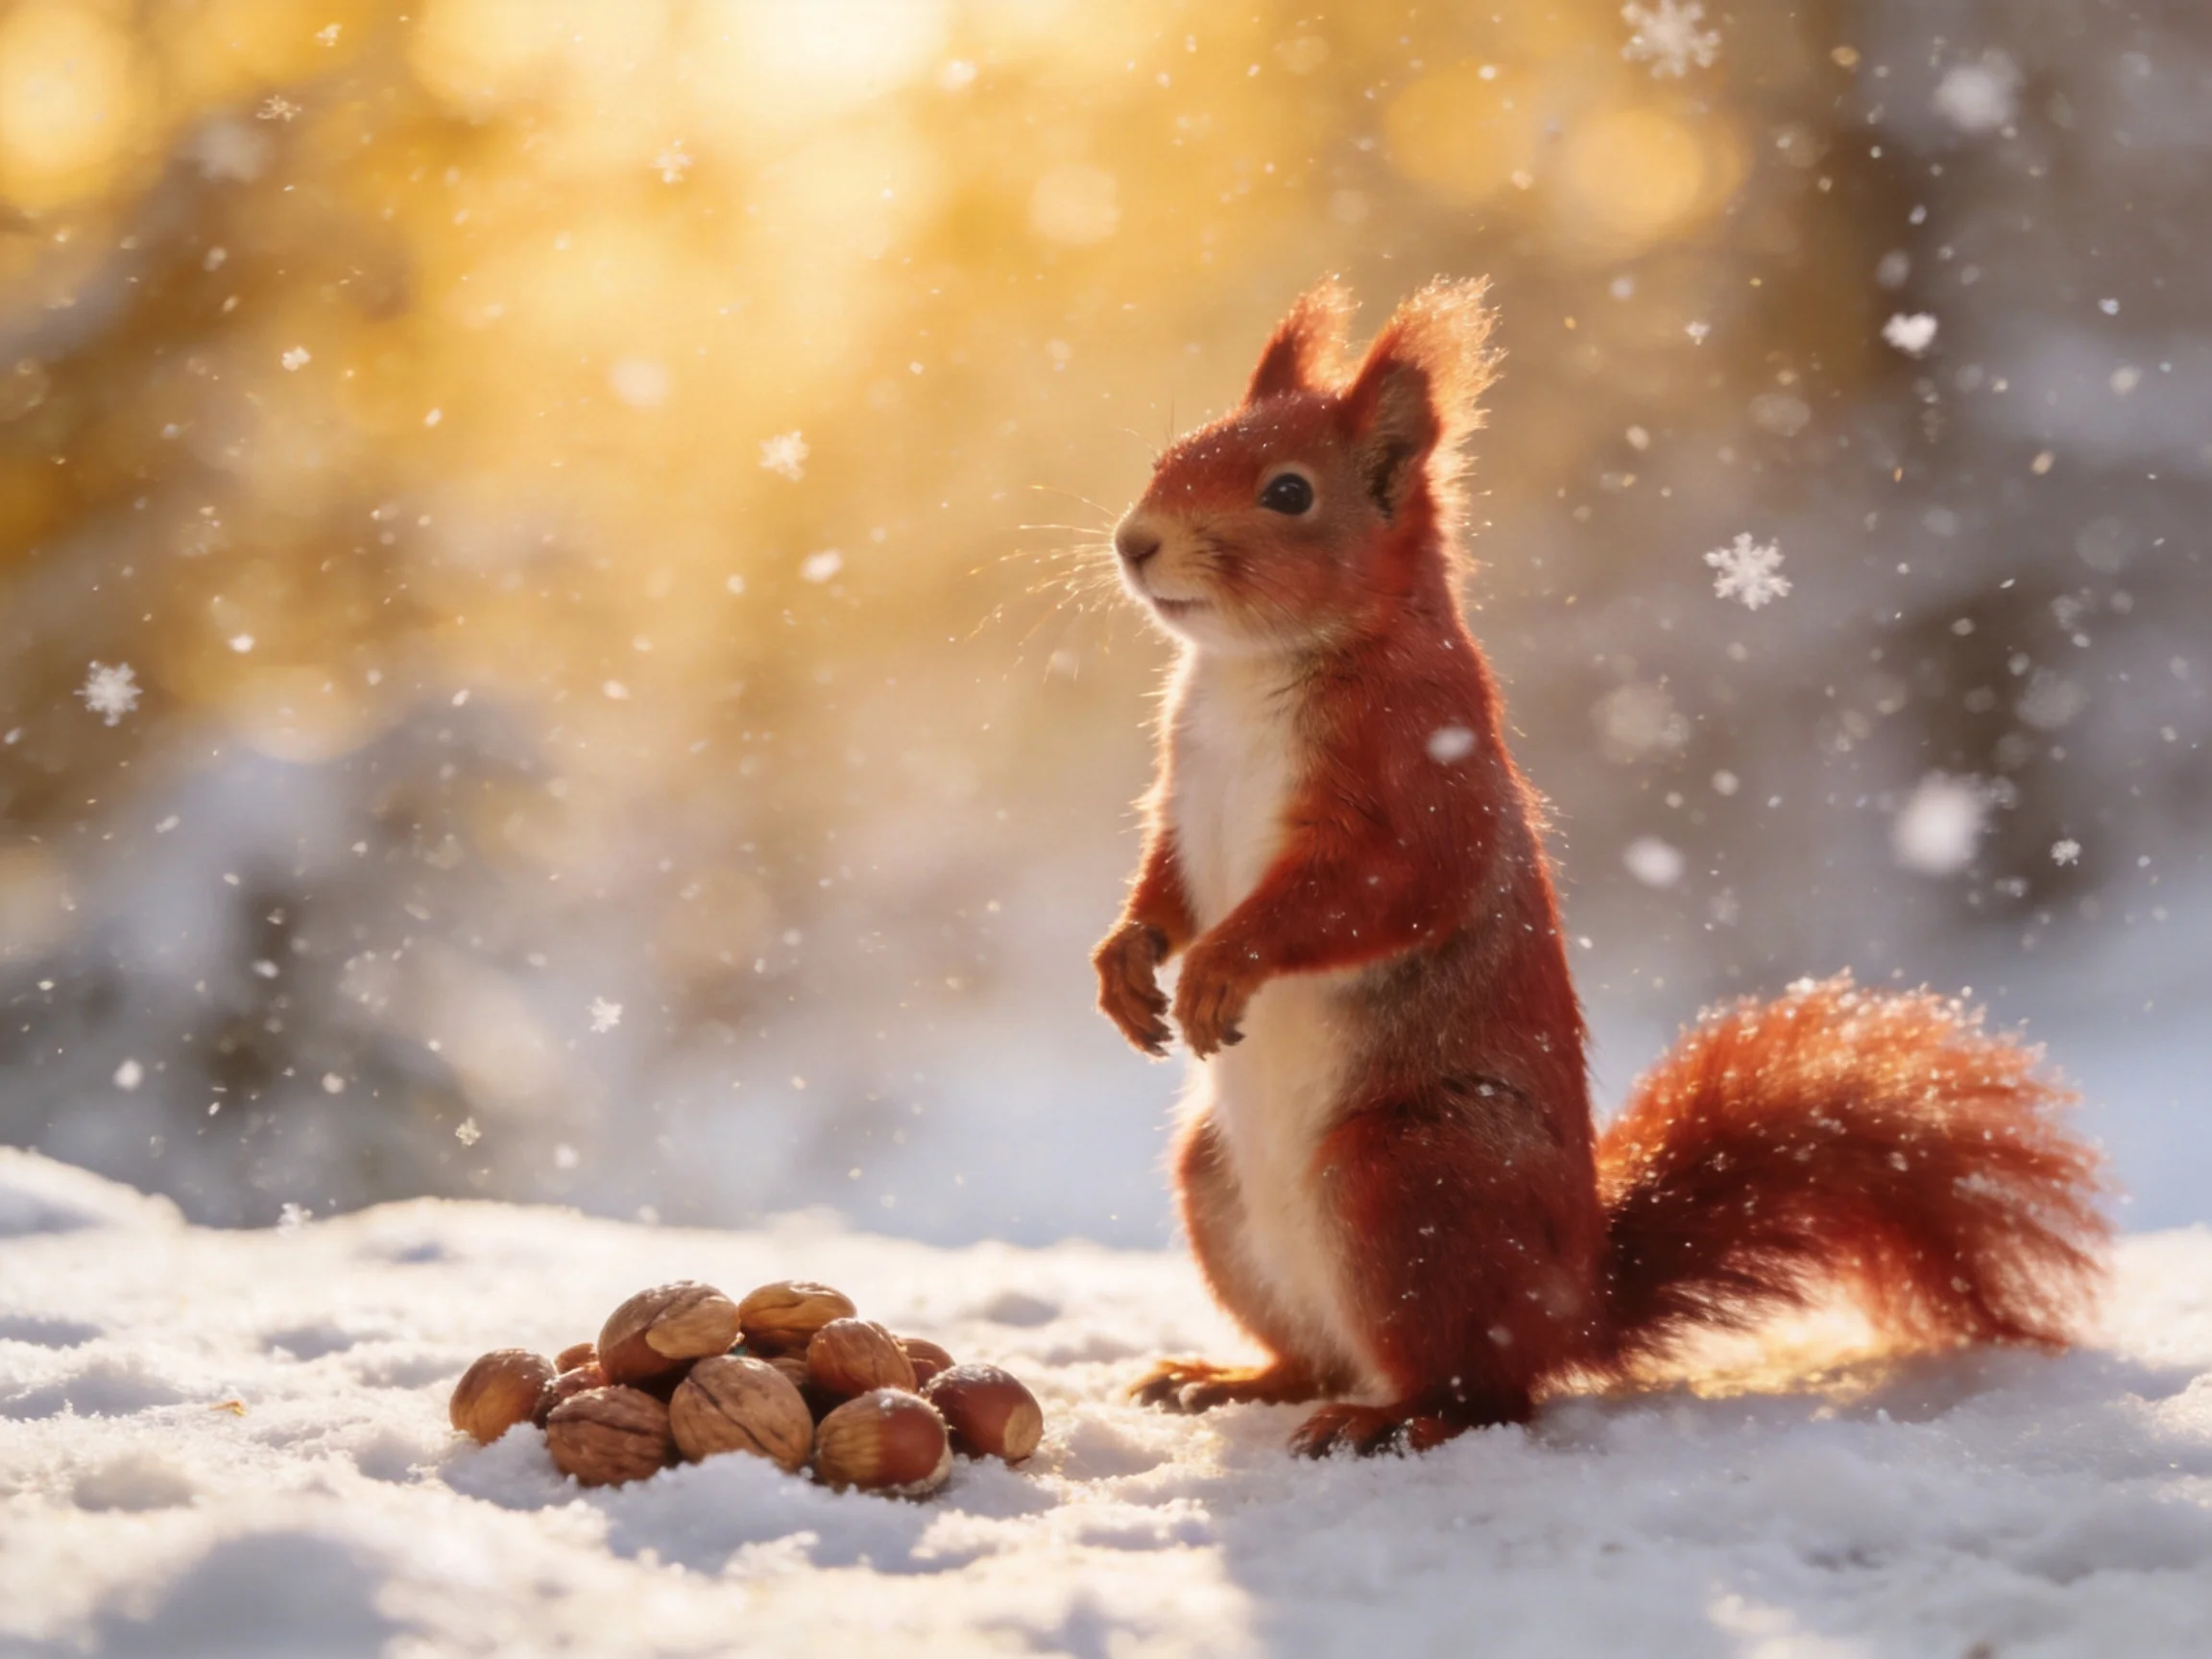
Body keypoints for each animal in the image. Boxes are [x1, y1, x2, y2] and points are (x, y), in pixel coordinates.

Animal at [1091, 279, 2109, 1457]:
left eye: (1289, 492)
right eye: (1170, 454)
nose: (1134, 542)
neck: (1251, 672)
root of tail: (1574, 1303)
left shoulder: (1417, 783)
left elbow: (1374, 894)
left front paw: (1222, 965)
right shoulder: (1181, 790)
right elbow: (1164, 884)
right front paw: (1126, 964)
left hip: (1407, 1181)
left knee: (1483, 1391)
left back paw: (1387, 1420)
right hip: (1218, 1186)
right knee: (1314, 1353)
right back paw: (1229, 1378)